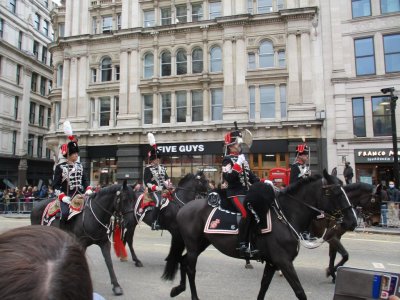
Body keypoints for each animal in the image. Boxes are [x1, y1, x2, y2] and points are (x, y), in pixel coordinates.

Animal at [162, 170, 356, 298]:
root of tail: (184, 207)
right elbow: (300, 292)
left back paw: (177, 289)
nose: (352, 221)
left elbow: (263, 288)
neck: (286, 216)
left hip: (202, 243)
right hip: (194, 246)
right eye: (336, 192)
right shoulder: (283, 262)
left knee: (183, 261)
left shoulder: (272, 262)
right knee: (190, 268)